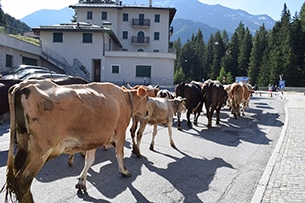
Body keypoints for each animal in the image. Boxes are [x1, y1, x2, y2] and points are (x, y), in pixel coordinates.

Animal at [3, 79, 148, 203]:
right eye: (147, 98)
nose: (147, 113)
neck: (124, 99)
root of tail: (23, 84)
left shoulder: (93, 139)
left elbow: (89, 161)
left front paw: (81, 182)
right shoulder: (121, 131)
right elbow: (120, 154)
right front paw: (124, 171)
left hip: (23, 144)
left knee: (16, 174)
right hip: (40, 151)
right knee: (23, 180)